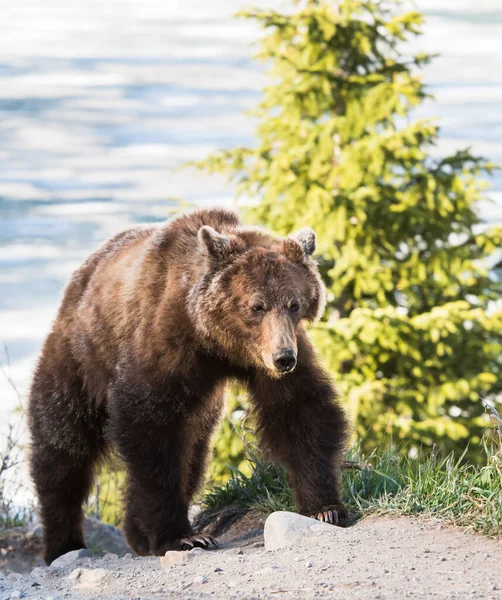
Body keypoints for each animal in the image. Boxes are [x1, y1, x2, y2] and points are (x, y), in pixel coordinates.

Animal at [26, 206, 350, 564]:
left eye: (294, 303)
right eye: (257, 305)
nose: (283, 359)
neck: (218, 343)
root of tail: (83, 273)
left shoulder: (274, 356)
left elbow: (300, 411)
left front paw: (326, 508)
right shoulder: (166, 347)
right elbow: (150, 430)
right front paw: (181, 536)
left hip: (201, 407)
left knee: (194, 452)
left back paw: (136, 535)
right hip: (81, 357)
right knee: (63, 446)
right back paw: (63, 542)